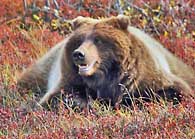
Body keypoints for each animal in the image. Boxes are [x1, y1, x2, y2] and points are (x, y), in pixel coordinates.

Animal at [17, 14, 195, 107]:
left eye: (98, 40)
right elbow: (56, 97)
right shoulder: (69, 77)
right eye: (80, 39)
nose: (78, 54)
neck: (104, 77)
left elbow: (173, 91)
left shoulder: (145, 76)